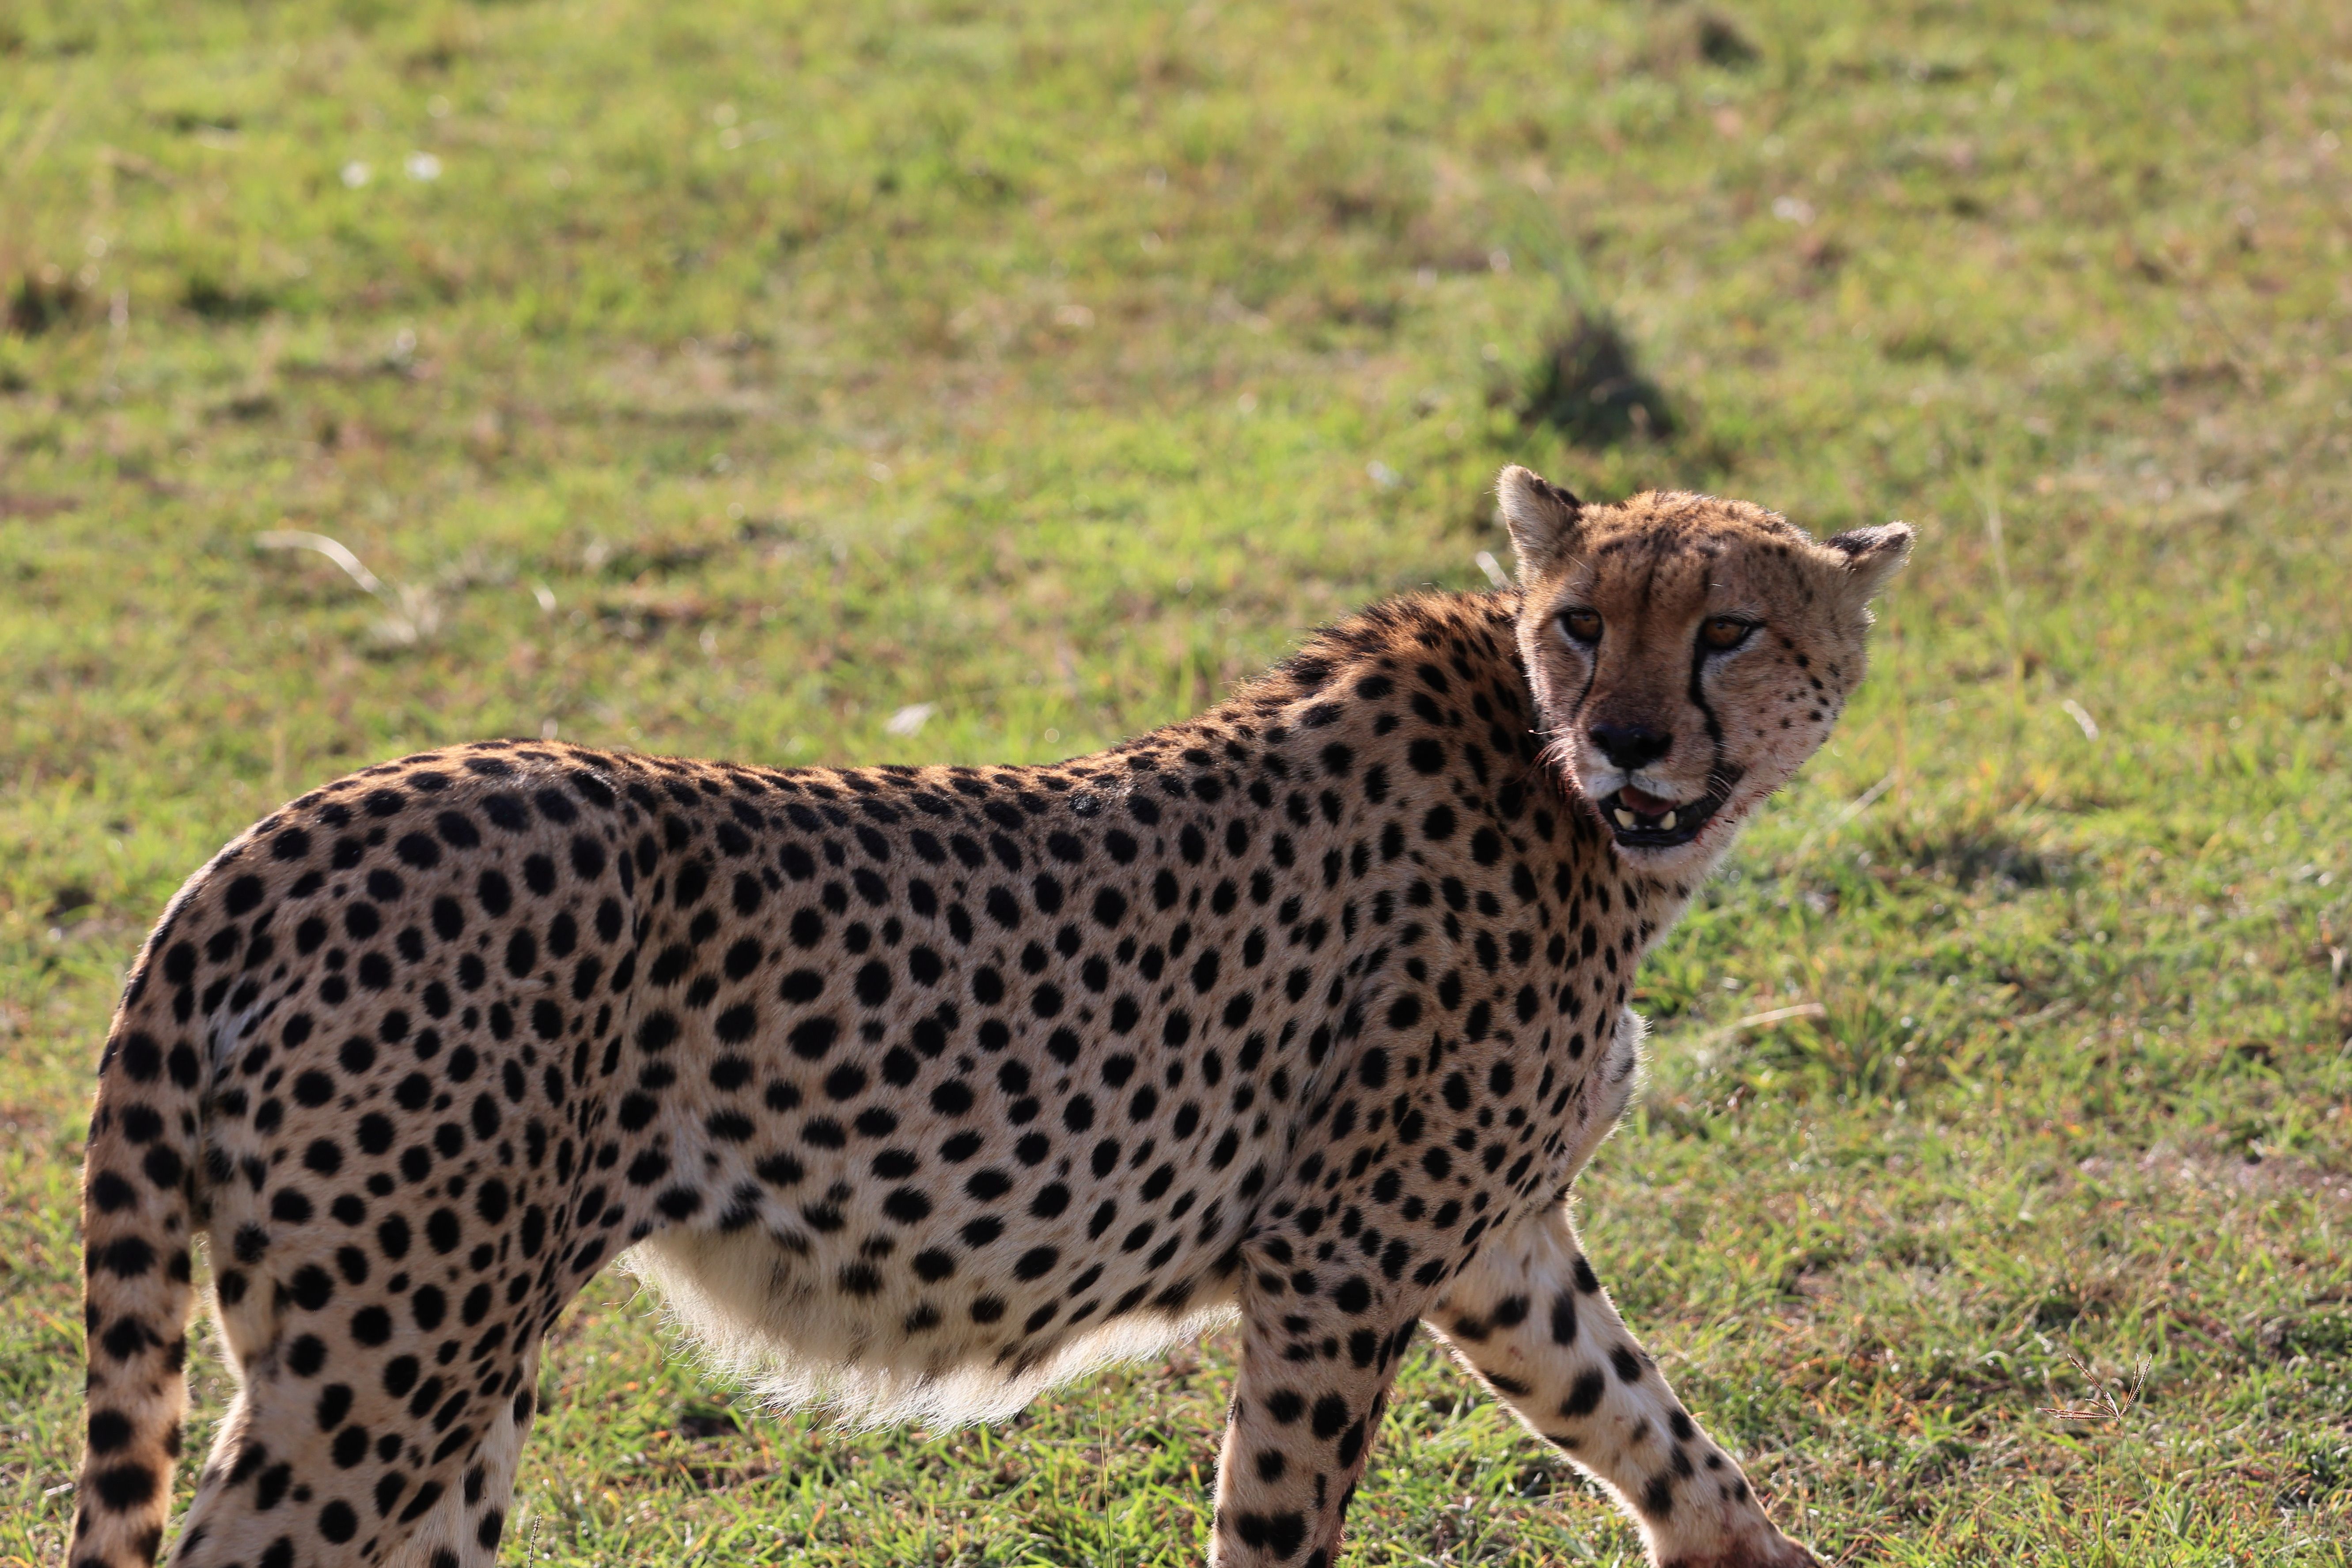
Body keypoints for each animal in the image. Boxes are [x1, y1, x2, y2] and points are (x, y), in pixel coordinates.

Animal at [66, 464, 1910, 1568]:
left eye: (1727, 628)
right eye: (1584, 621)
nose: (1627, 740)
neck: (1563, 799)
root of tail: (290, 830)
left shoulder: (1494, 1245)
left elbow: (1657, 1429)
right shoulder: (1340, 1256)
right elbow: (1282, 1515)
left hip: (448, 1355)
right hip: (390, 1353)